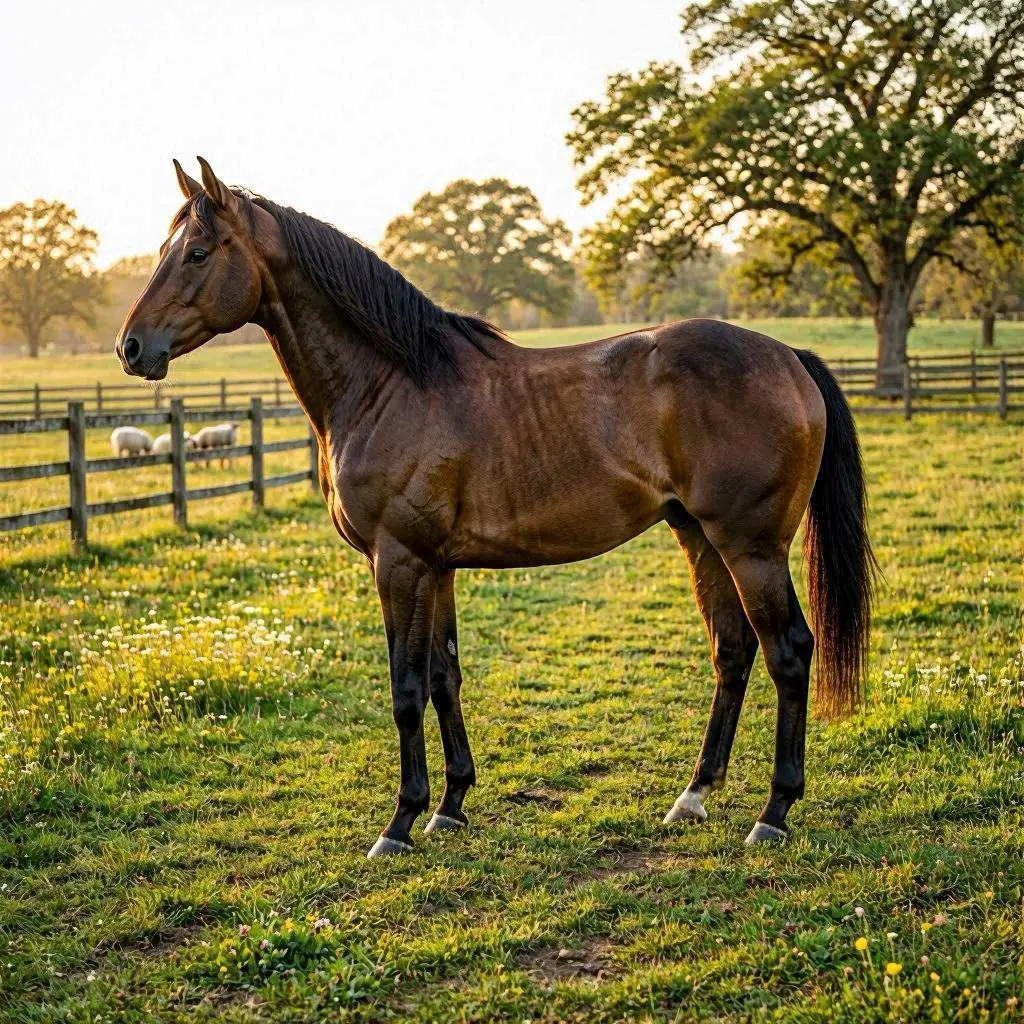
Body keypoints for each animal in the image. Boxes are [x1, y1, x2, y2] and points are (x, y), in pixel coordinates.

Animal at [116, 158, 874, 858]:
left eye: (198, 252)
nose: (130, 346)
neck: (392, 382)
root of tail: (788, 356)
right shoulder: (437, 566)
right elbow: (444, 675)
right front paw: (450, 806)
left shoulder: (398, 562)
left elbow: (405, 686)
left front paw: (399, 823)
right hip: (700, 538)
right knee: (733, 650)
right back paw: (693, 795)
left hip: (751, 547)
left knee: (788, 652)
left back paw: (773, 813)